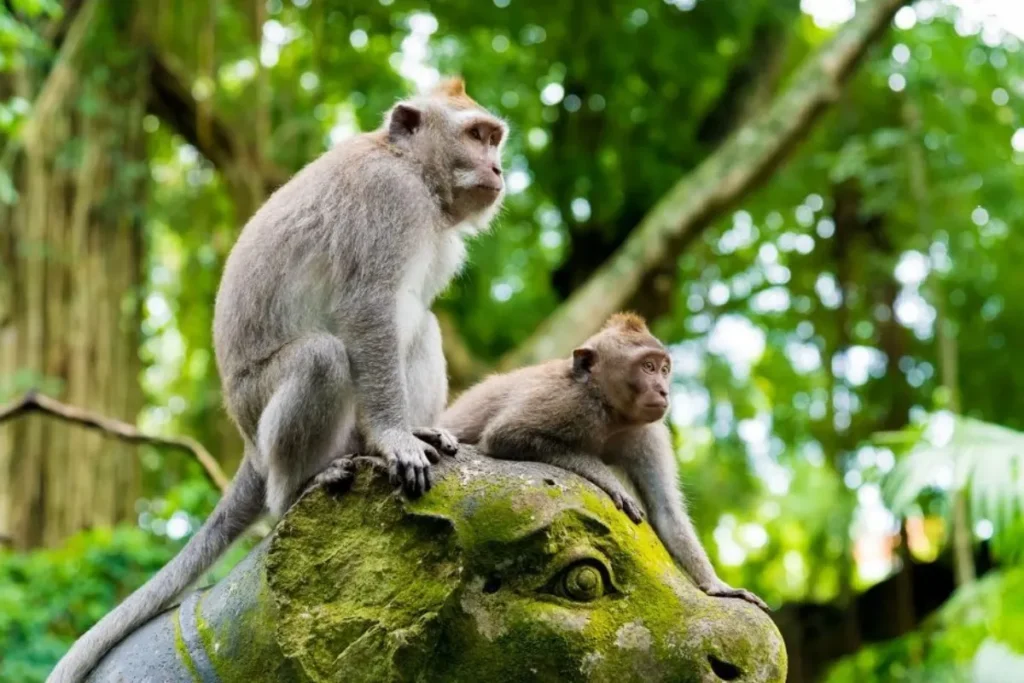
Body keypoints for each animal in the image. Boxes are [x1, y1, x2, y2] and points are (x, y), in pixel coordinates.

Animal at [48, 77, 508, 683]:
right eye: (477, 136)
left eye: (494, 138)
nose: (499, 168)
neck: (411, 169)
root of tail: (248, 443)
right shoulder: (389, 202)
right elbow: (368, 310)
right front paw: (394, 439)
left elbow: (400, 319)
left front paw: (408, 433)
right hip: (259, 405)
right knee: (322, 357)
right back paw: (301, 485)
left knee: (419, 326)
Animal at [440, 312, 769, 612]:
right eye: (648, 367)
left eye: (664, 369)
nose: (664, 390)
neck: (610, 412)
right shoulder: (566, 400)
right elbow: (506, 435)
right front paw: (611, 483)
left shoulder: (648, 433)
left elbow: (665, 511)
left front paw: (717, 586)